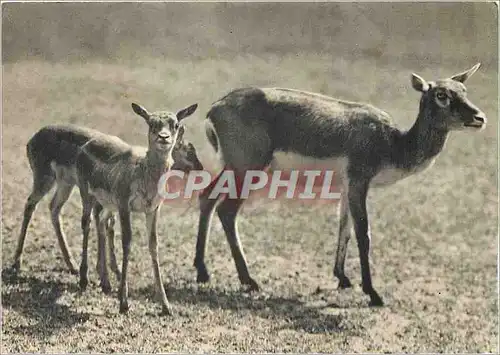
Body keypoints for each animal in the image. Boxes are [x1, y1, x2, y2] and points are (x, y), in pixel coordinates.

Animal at [76, 102, 197, 314]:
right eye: (151, 123)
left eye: (174, 124)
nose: (163, 137)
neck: (144, 173)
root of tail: (86, 145)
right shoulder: (125, 205)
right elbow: (127, 242)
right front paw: (124, 302)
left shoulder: (153, 209)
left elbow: (153, 244)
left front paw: (166, 305)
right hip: (87, 194)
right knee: (86, 223)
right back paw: (84, 279)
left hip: (107, 204)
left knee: (101, 223)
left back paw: (105, 282)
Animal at [194, 63, 488, 306]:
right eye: (441, 95)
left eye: (463, 90)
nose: (480, 118)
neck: (393, 143)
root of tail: (214, 108)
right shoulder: (359, 181)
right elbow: (363, 234)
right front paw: (373, 293)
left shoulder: (347, 186)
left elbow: (344, 227)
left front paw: (343, 278)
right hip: (248, 170)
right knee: (227, 211)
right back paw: (248, 280)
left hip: (232, 167)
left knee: (207, 197)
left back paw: (202, 272)